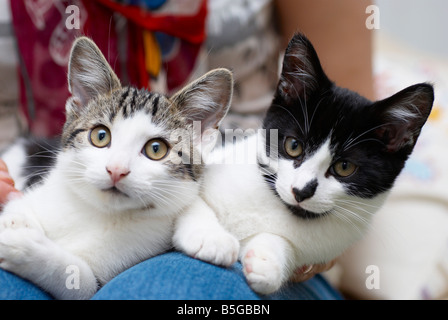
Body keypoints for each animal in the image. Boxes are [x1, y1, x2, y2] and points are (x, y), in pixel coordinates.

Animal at [0, 37, 231, 300]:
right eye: (100, 136)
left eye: (156, 149)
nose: (116, 170)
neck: (97, 211)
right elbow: (19, 207)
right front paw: (15, 222)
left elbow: (79, 279)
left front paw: (19, 244)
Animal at [172, 33, 434, 296]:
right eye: (293, 145)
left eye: (345, 167)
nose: (302, 191)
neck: (279, 207)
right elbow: (191, 201)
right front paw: (209, 238)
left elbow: (283, 247)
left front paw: (267, 261)